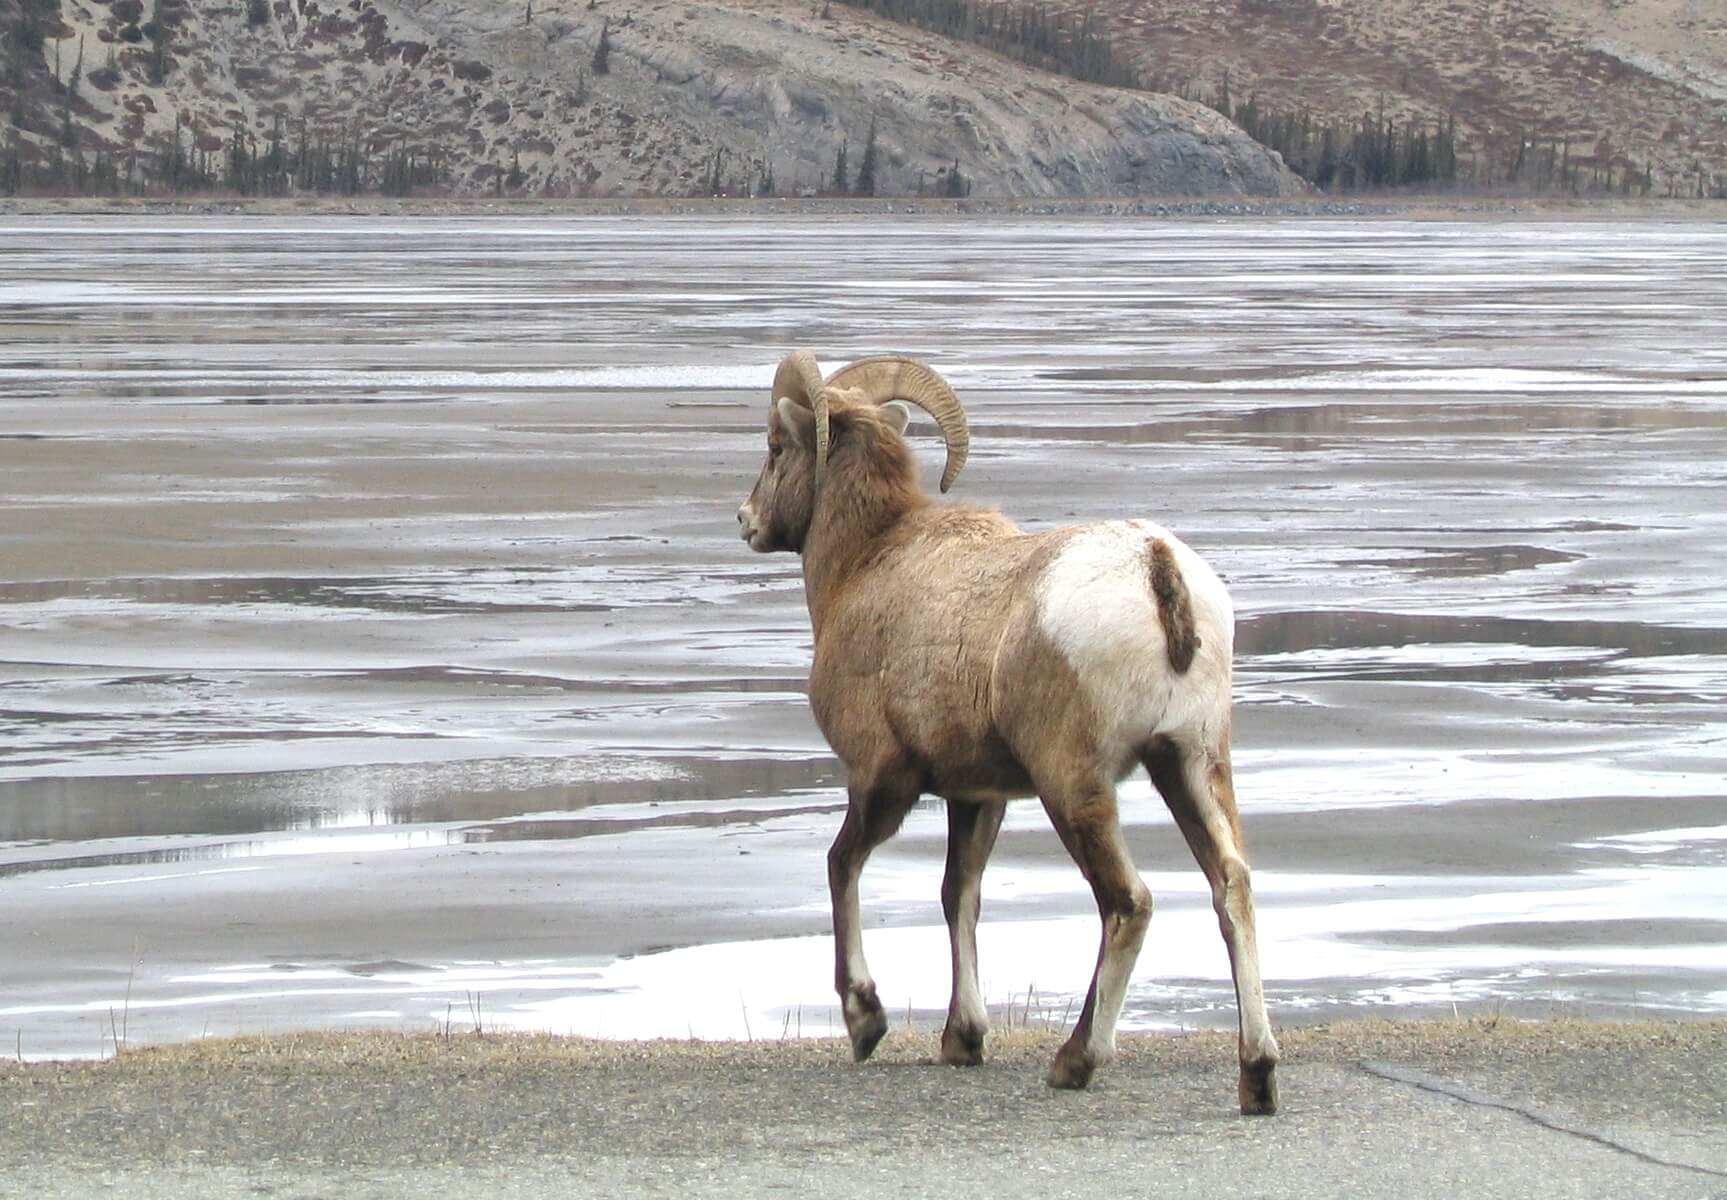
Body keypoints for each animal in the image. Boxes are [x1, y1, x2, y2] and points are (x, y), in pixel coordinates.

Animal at [735, 352, 1277, 1111]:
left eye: (776, 447)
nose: (746, 520)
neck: (865, 565)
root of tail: (1155, 566)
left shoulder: (881, 779)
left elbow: (842, 865)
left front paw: (865, 1020)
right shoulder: (977, 795)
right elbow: (958, 895)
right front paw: (961, 1040)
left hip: (1072, 784)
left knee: (1127, 903)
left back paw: (1074, 1061)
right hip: (1190, 761)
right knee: (1231, 886)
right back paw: (1257, 1076)